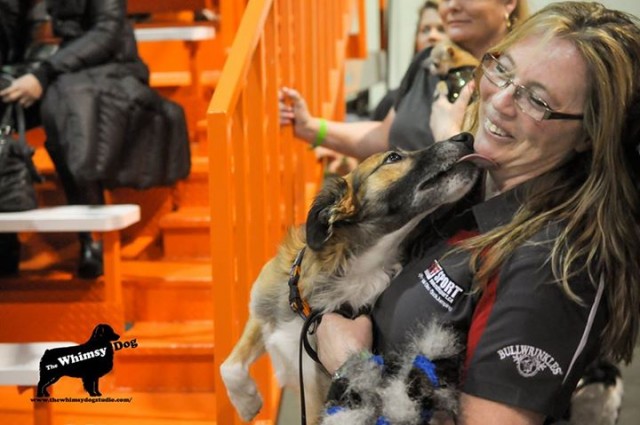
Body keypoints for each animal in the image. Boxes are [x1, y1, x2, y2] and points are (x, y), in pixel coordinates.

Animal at [220, 134, 490, 422]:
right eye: (393, 157)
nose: (466, 137)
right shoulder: (264, 308)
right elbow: (229, 366)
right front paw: (246, 403)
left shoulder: (316, 400)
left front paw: (247, 401)